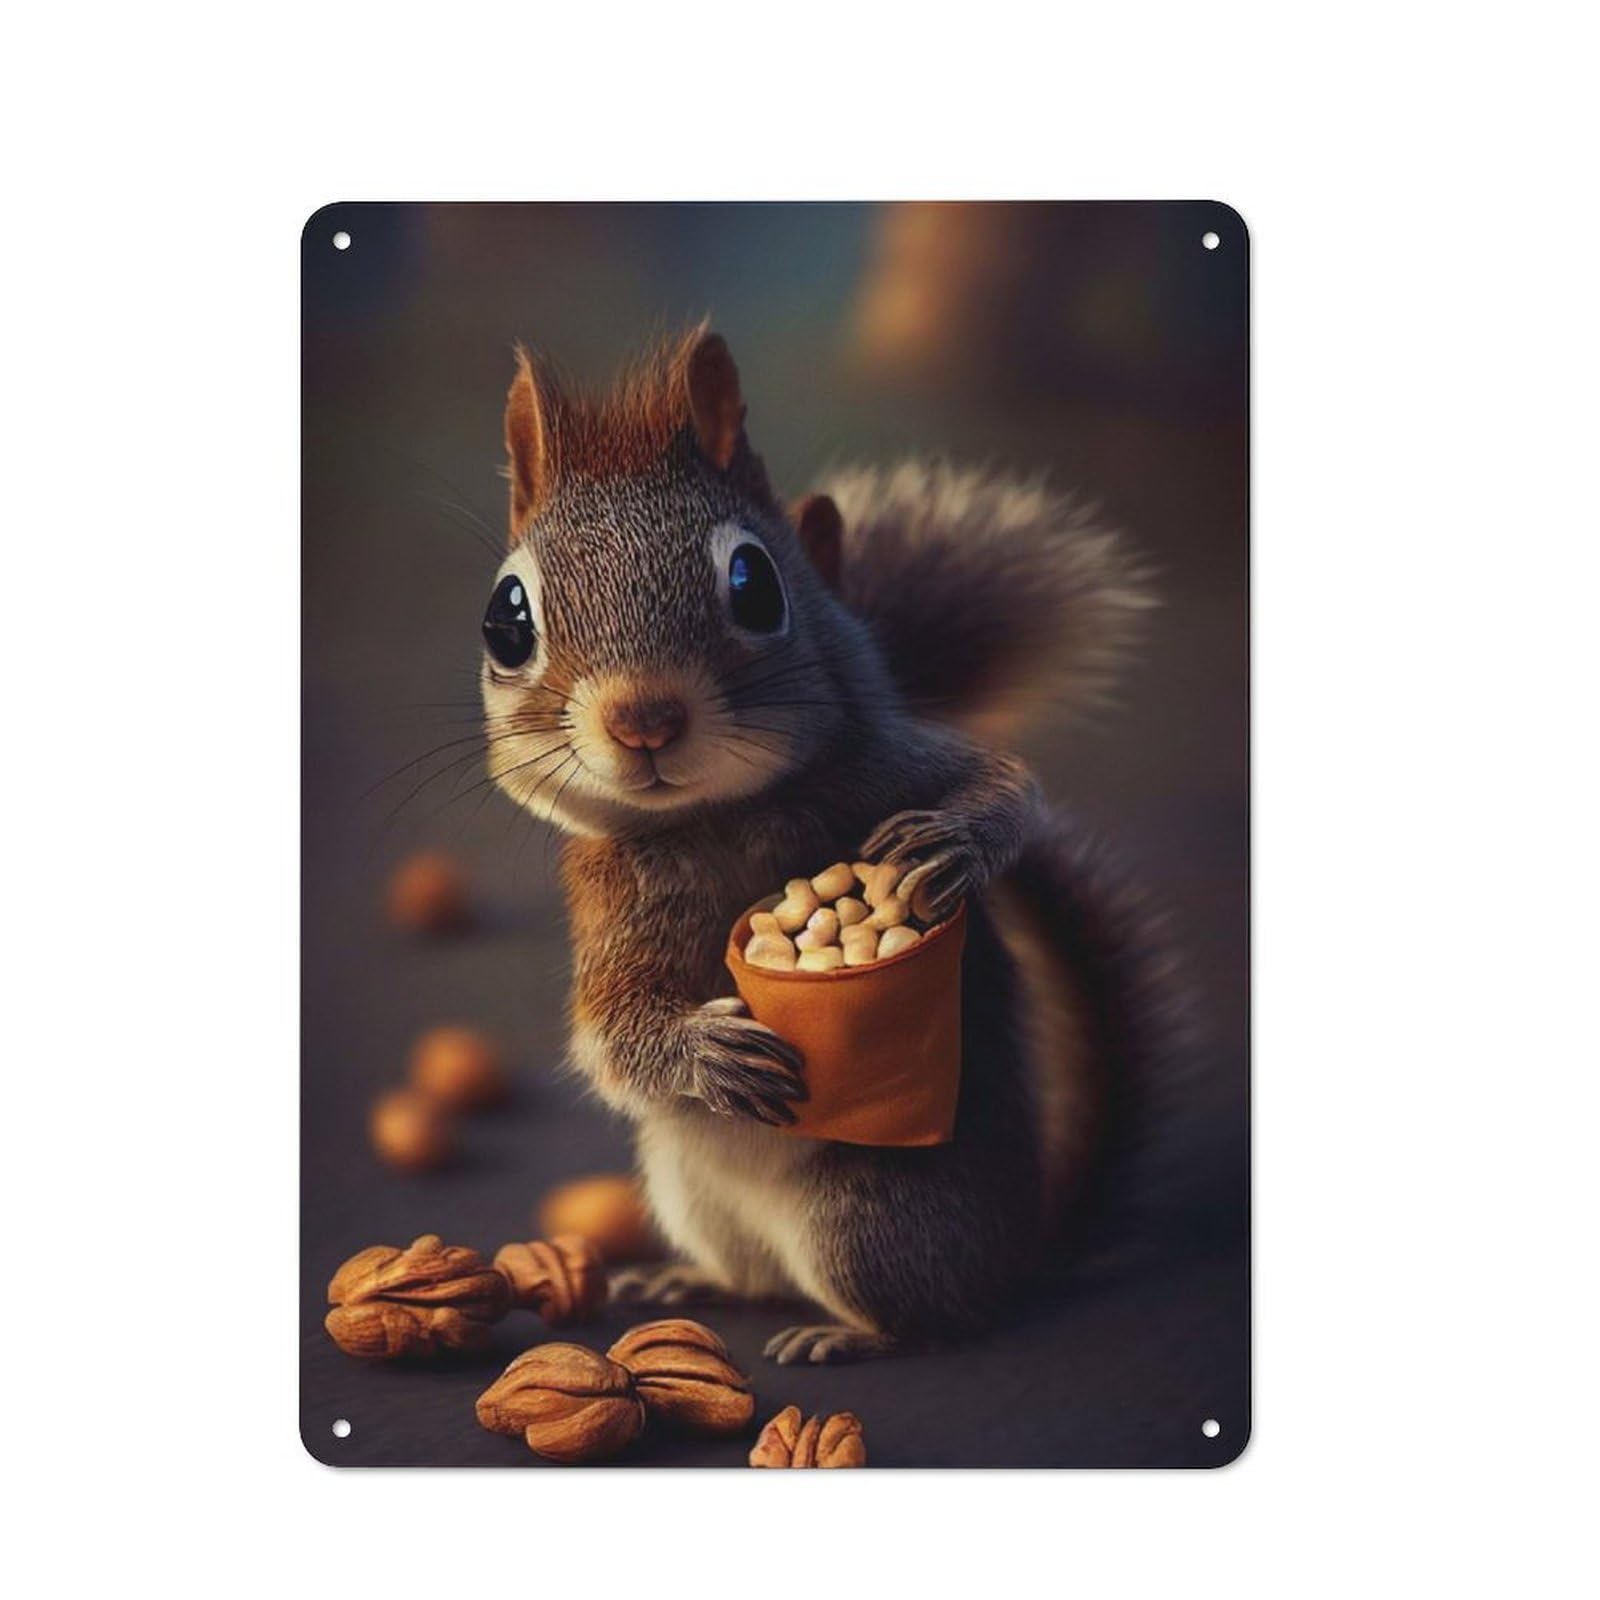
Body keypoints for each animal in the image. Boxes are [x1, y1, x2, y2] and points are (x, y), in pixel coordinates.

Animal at [479, 325, 1170, 1364]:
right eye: (506, 620)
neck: (724, 816)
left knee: (932, 1317)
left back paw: (846, 1336)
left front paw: (949, 842)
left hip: (872, 1214)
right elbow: (608, 1032)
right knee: (757, 1278)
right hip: (692, 1193)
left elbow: (1009, 786)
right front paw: (706, 1052)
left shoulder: (892, 755)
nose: (644, 719)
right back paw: (690, 1281)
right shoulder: (608, 911)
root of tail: (1017, 1256)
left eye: (756, 582)